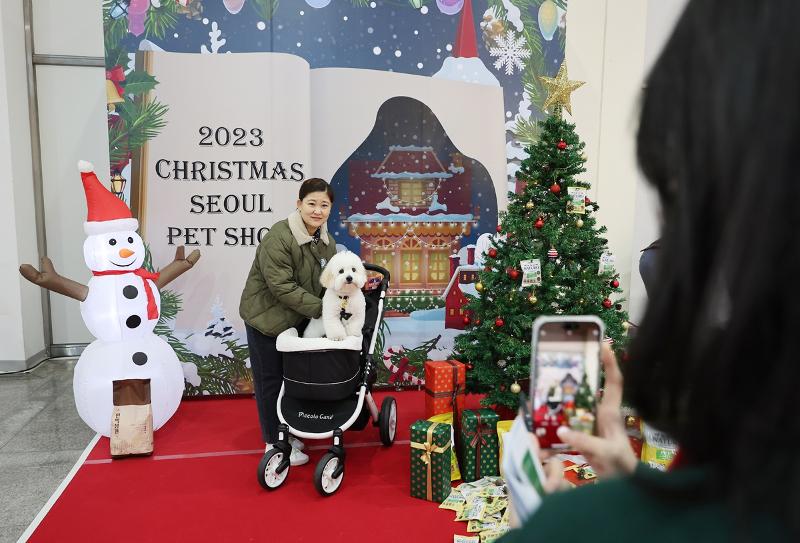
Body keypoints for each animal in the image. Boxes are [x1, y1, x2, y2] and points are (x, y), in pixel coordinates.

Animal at [255, 264, 396, 498]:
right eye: (340, 271)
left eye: (353, 270)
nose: (349, 278)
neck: (344, 298)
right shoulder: (331, 316)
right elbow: (281, 449)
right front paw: (278, 465)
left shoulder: (355, 317)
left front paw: (332, 472)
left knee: (380, 409)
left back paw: (386, 421)